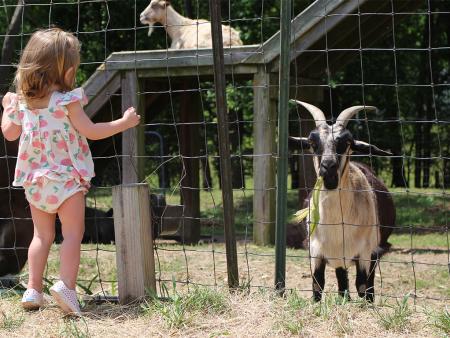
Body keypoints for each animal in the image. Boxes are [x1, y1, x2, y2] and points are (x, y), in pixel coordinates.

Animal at [290, 101, 396, 302]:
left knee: (367, 285)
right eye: (312, 143)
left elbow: (362, 286)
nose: (328, 168)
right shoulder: (315, 253)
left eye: (347, 142)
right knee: (342, 281)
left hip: (374, 251)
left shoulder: (366, 252)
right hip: (341, 259)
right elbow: (317, 286)